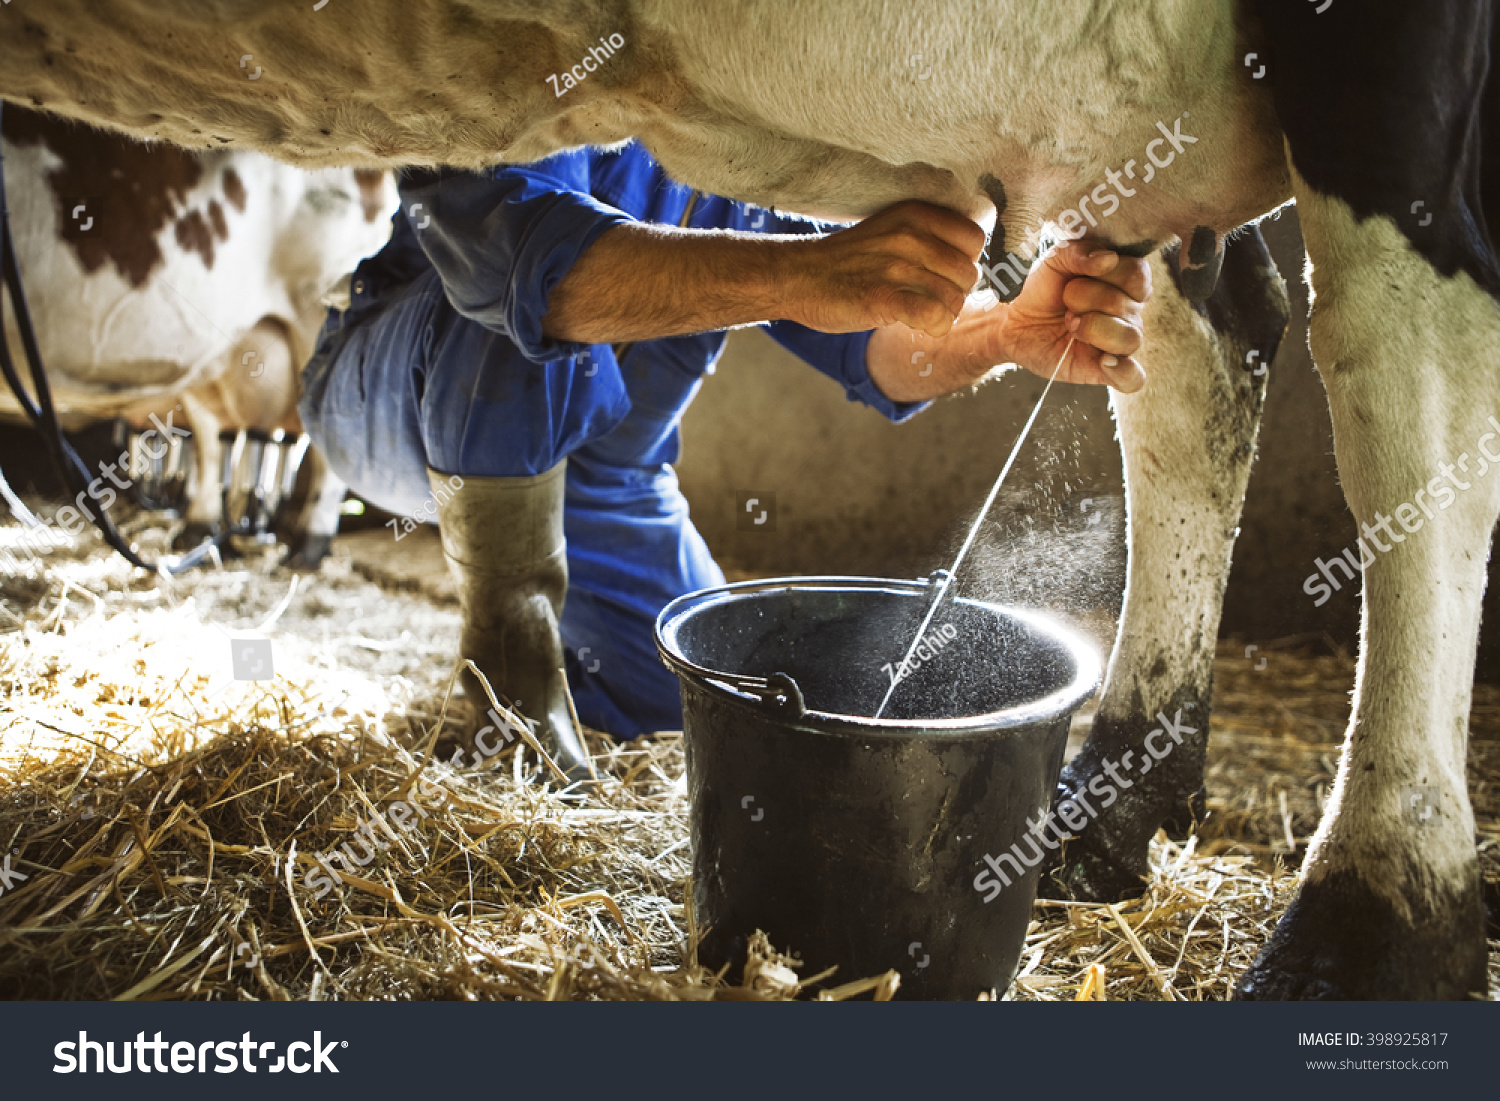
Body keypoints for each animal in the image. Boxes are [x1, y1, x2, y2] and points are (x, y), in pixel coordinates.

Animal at [0, 106, 399, 570]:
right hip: (218, 355)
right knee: (214, 439)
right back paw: (203, 530)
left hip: (320, 311)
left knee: (321, 443)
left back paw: (306, 545)